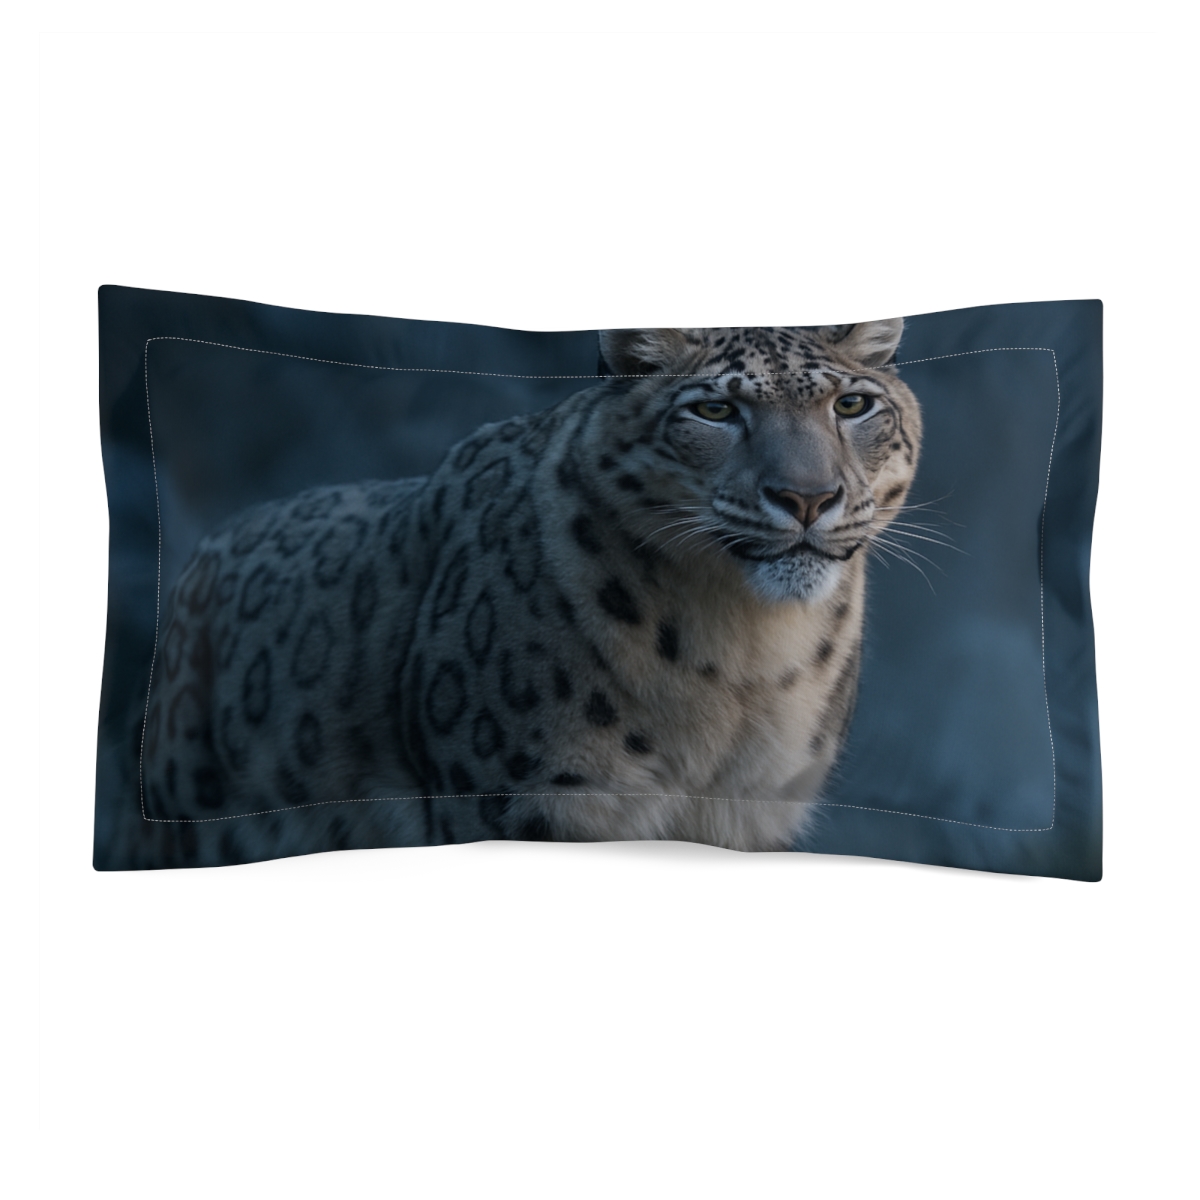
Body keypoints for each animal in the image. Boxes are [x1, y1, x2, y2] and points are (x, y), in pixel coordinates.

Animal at [134, 321, 922, 866]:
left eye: (853, 404)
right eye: (716, 413)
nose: (807, 497)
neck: (743, 657)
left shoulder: (756, 814)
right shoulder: (526, 802)